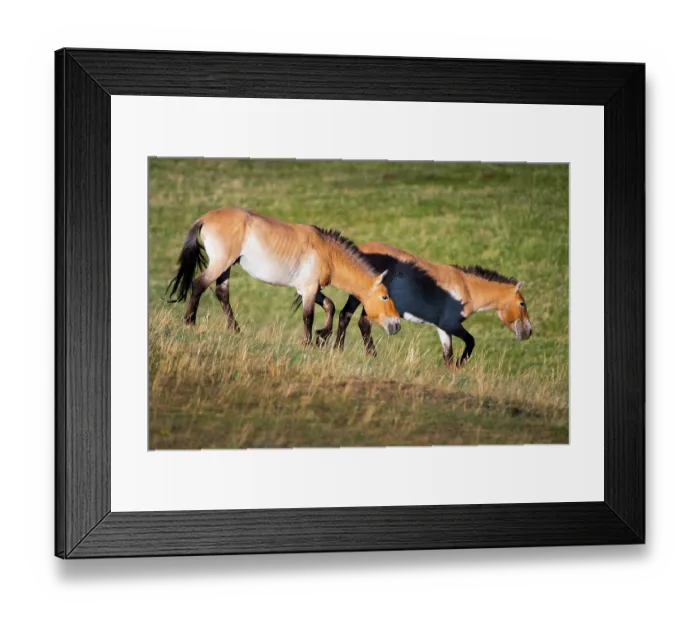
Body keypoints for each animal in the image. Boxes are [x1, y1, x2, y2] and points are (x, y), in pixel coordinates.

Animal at [165, 208, 401, 344]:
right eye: (385, 296)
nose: (397, 325)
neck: (327, 252)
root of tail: (205, 218)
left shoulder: (309, 289)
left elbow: (330, 306)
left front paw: (322, 335)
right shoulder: (308, 289)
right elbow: (308, 316)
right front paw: (308, 342)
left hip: (226, 267)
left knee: (222, 293)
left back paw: (236, 330)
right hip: (220, 263)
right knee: (198, 284)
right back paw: (190, 322)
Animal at [322, 242, 532, 366]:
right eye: (522, 303)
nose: (529, 331)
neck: (466, 287)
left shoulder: (443, 328)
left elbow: (447, 355)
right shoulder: (451, 324)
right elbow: (470, 342)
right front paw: (461, 364)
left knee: (346, 316)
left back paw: (338, 349)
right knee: (363, 323)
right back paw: (371, 356)